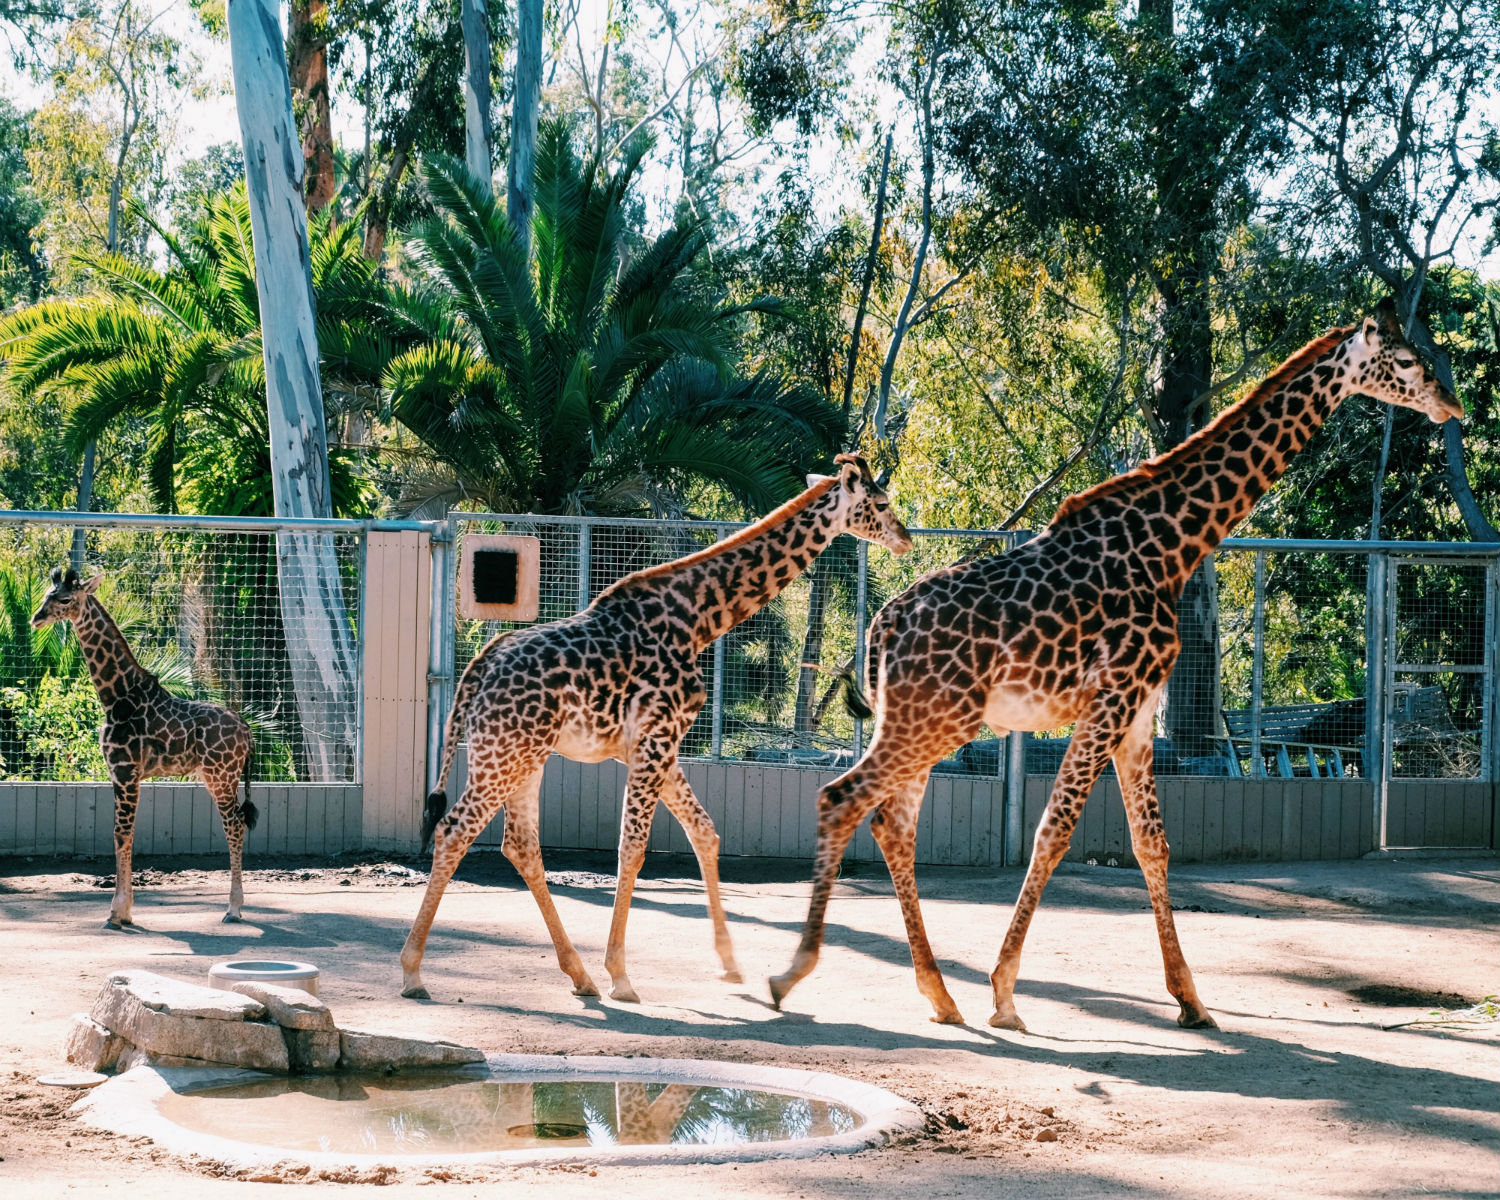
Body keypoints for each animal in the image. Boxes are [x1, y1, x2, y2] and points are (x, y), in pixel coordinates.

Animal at [402, 456, 912, 1008]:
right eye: (881, 502)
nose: (905, 537)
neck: (698, 621)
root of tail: (476, 669)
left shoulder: (651, 746)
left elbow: (704, 831)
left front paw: (730, 965)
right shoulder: (657, 739)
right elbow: (633, 847)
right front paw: (622, 975)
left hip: (523, 755)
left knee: (519, 844)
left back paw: (578, 975)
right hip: (504, 754)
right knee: (456, 830)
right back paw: (413, 972)